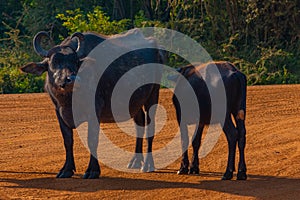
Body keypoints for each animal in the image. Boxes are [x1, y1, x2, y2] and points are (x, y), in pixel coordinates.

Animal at [20, 29, 164, 178]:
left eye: (75, 62)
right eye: (54, 63)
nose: (71, 79)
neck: (69, 99)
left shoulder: (94, 110)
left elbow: (92, 140)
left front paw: (92, 170)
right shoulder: (58, 112)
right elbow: (68, 140)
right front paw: (66, 169)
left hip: (153, 94)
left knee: (151, 127)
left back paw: (148, 164)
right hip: (135, 103)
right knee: (139, 124)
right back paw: (135, 161)